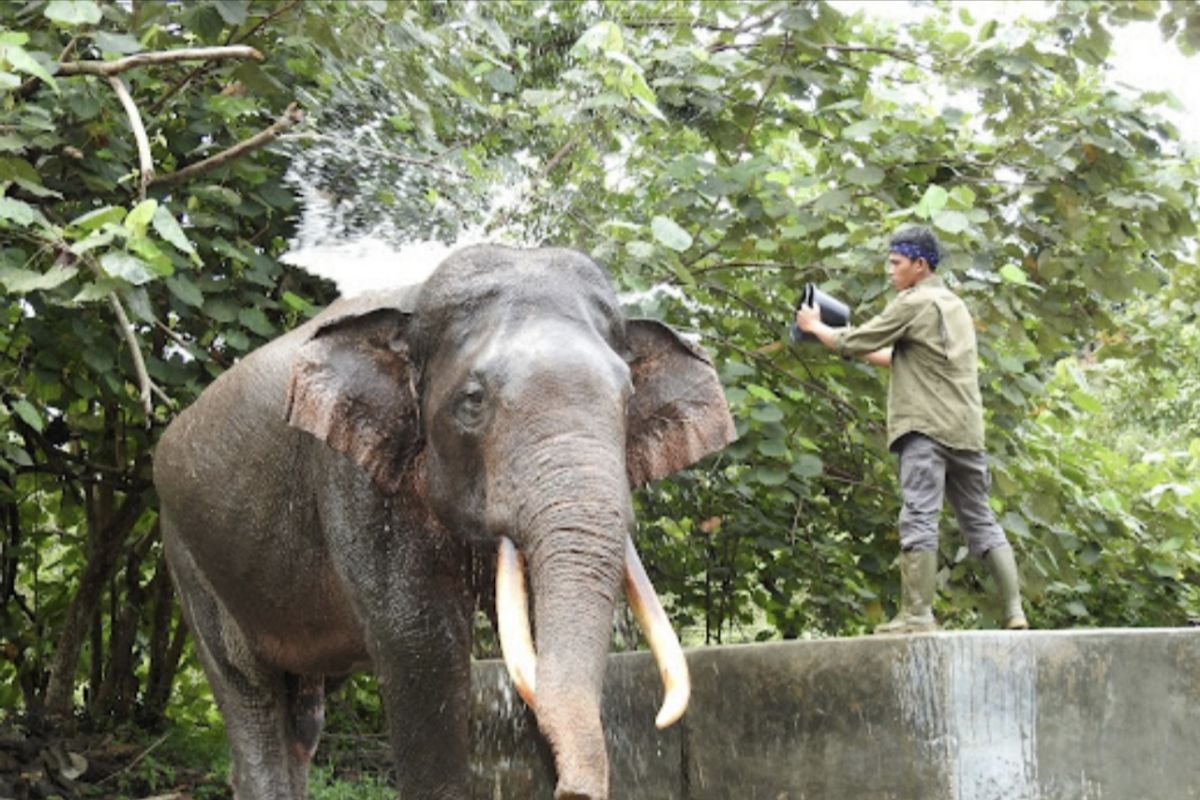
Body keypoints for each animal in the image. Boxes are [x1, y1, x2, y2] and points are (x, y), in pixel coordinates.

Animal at [150, 245, 729, 800]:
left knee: (302, 714)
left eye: (628, 397)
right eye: (473, 401)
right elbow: (418, 639)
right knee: (249, 693)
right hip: (188, 554)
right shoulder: (350, 478)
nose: (577, 793)